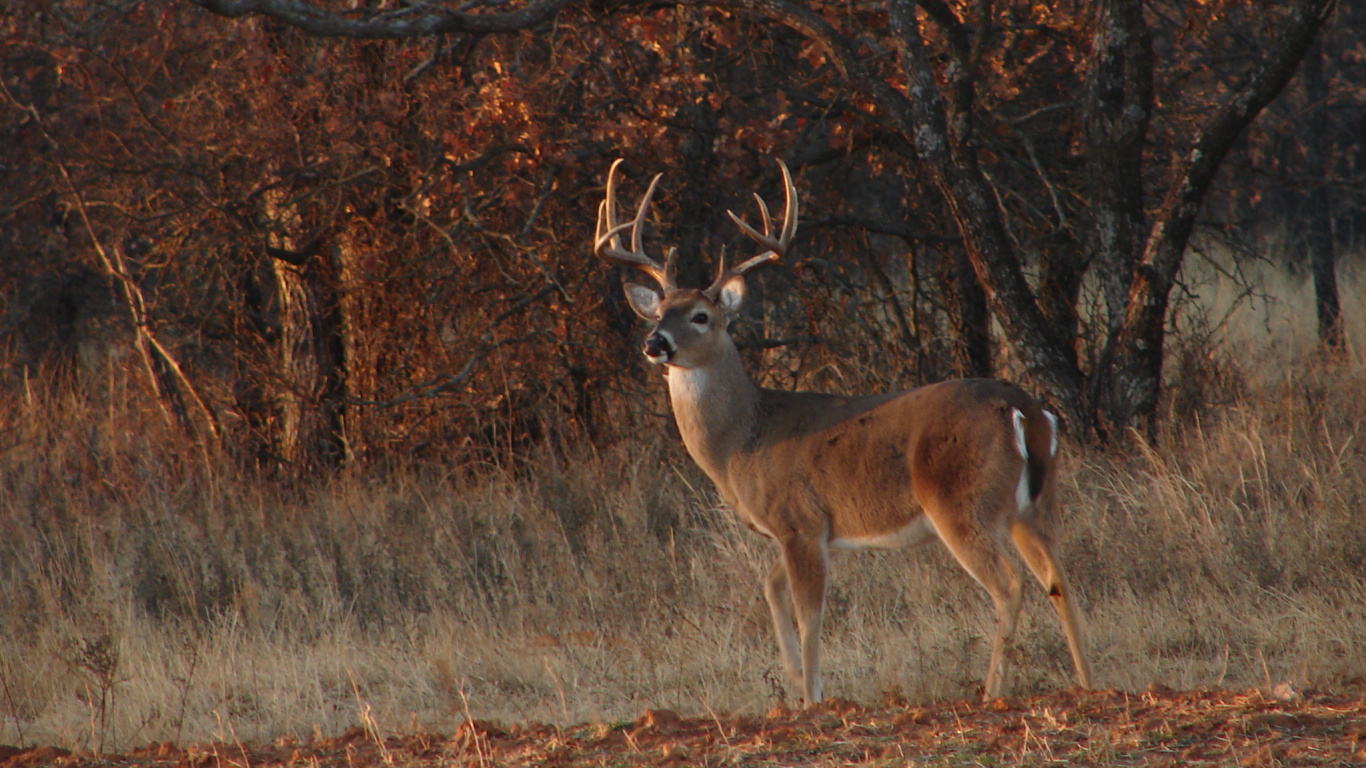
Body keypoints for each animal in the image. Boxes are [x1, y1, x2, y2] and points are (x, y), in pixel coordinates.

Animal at [593, 158, 1093, 705]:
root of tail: (1027, 411)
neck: (742, 440)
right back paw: (1091, 684)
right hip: (1035, 506)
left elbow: (809, 617)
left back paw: (992, 692)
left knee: (1010, 584)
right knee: (1060, 579)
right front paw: (794, 683)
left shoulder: (799, 520)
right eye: (660, 311)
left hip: (962, 502)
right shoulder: (809, 531)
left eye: (701, 316)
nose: (655, 342)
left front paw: (812, 699)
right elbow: (771, 590)